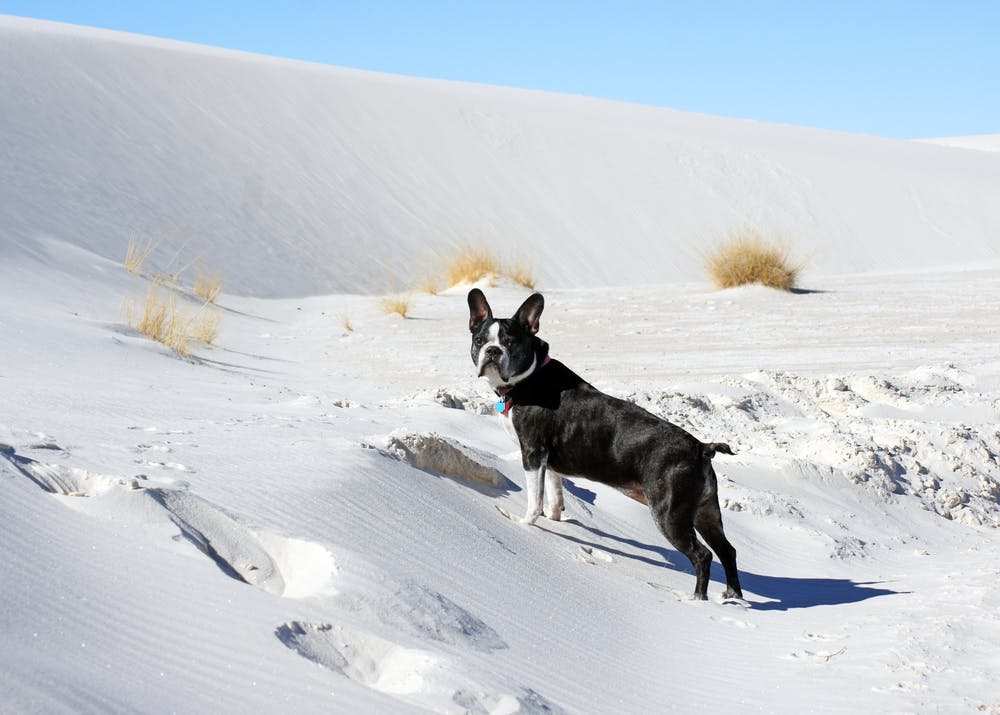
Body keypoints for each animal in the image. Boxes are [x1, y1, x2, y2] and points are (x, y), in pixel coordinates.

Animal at [468, 288, 744, 600]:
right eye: (479, 340)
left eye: (510, 343)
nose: (492, 351)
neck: (530, 376)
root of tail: (700, 448)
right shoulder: (548, 462)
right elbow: (554, 493)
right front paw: (556, 518)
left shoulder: (533, 454)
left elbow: (534, 501)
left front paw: (523, 524)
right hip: (706, 511)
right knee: (727, 550)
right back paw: (732, 597)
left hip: (669, 514)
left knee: (702, 555)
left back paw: (698, 599)